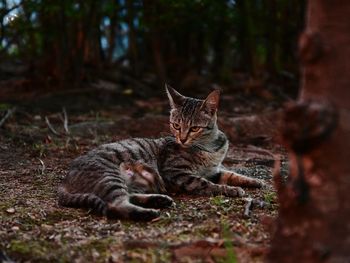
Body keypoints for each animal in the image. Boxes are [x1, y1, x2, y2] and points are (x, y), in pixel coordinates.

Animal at [58, 86, 262, 221]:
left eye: (194, 128)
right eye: (176, 125)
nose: (182, 139)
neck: (209, 148)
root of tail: (65, 181)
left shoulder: (213, 170)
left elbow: (231, 174)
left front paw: (254, 181)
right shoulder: (177, 173)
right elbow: (206, 184)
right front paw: (230, 190)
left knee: (130, 195)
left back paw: (159, 200)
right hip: (108, 176)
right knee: (115, 205)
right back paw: (149, 212)